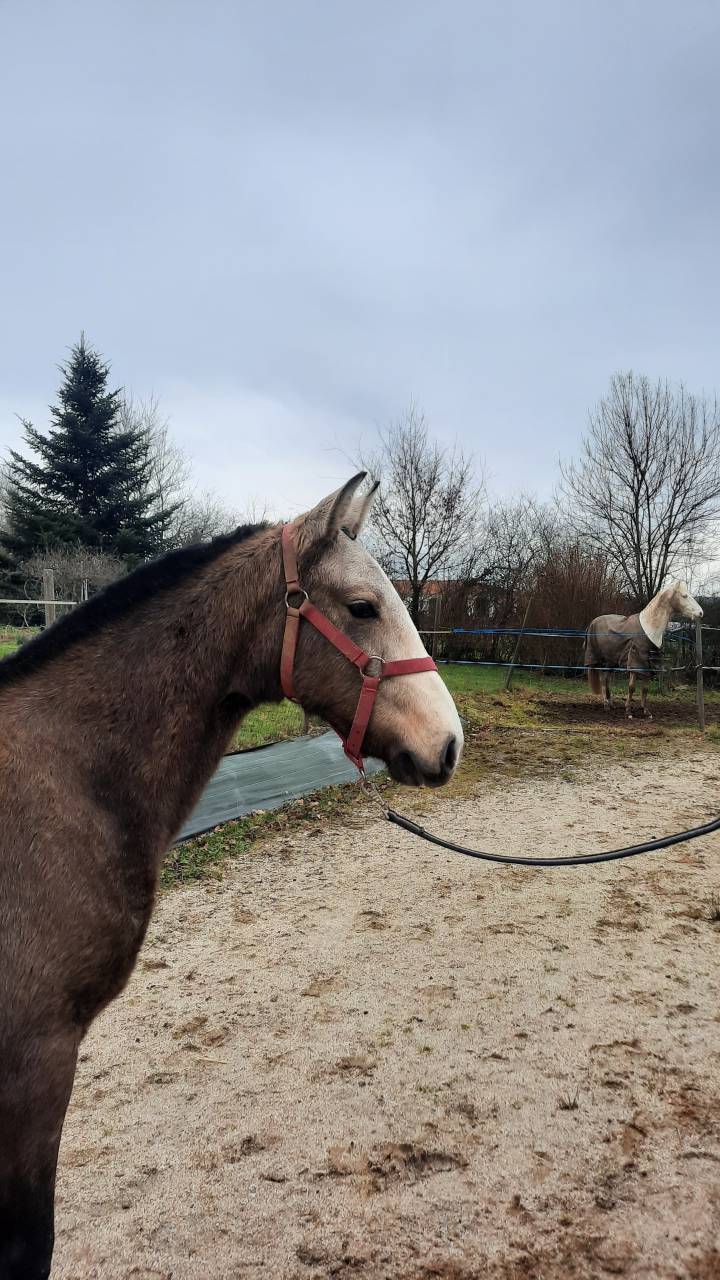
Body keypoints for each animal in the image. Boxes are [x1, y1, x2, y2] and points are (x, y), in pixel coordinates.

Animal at [585, 579, 703, 718]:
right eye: (684, 596)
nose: (700, 613)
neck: (649, 627)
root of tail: (593, 621)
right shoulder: (635, 664)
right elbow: (631, 687)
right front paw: (628, 712)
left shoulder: (648, 664)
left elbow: (645, 689)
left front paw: (646, 711)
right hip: (600, 660)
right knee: (603, 680)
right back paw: (606, 705)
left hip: (610, 662)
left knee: (606, 679)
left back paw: (611, 704)